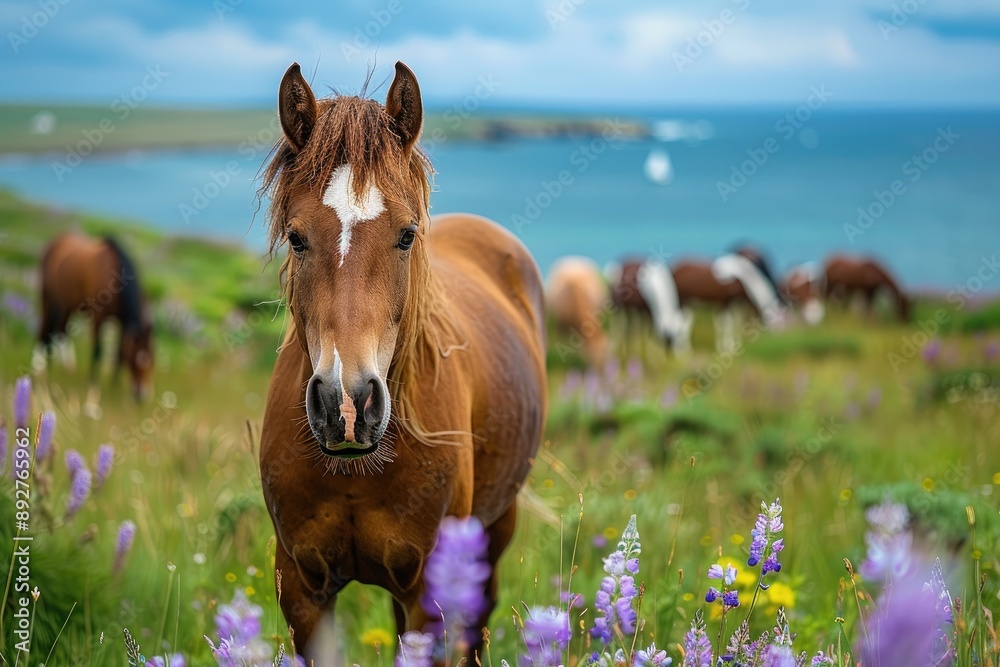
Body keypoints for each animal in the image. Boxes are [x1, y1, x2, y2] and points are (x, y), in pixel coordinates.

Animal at [37, 233, 154, 401]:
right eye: (136, 359)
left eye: (152, 360)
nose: (142, 396)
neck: (116, 278)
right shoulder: (99, 317)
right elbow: (97, 350)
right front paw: (92, 383)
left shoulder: (121, 321)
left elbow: (119, 353)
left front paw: (114, 386)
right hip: (46, 298)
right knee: (44, 330)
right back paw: (40, 368)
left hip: (66, 305)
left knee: (60, 331)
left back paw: (65, 368)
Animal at [257, 62, 547, 661]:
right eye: (296, 238)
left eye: (407, 235)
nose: (346, 407)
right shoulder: (301, 592)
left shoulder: (430, 599)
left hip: (493, 535)